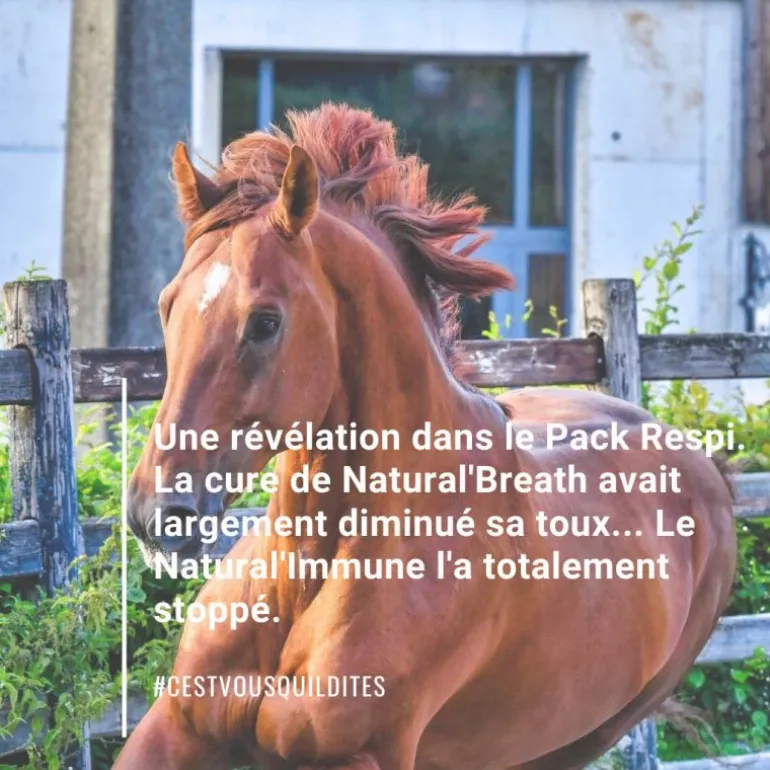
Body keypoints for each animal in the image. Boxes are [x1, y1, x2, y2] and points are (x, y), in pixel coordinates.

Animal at [115, 104, 737, 770]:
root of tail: (708, 471)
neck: (306, 578)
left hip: (580, 737)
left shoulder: (360, 755)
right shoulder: (176, 726)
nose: (157, 512)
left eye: (264, 322)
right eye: (167, 304)